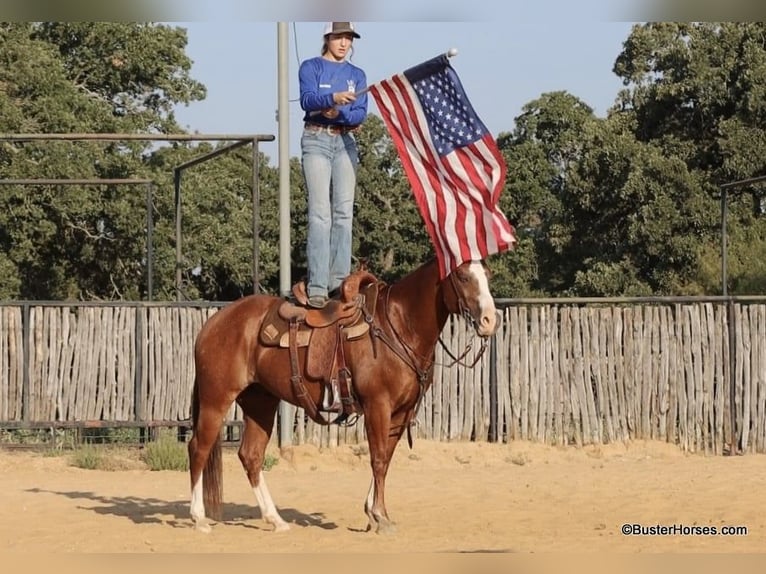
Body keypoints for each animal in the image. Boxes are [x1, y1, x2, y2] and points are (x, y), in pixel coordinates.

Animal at [187, 257, 499, 534]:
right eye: (462, 277)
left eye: (487, 274)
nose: (489, 320)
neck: (398, 325)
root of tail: (212, 323)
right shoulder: (378, 406)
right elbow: (378, 458)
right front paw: (380, 517)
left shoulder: (401, 412)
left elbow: (386, 458)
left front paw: (373, 513)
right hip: (216, 400)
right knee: (198, 448)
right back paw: (199, 518)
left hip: (260, 402)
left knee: (250, 455)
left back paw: (275, 520)